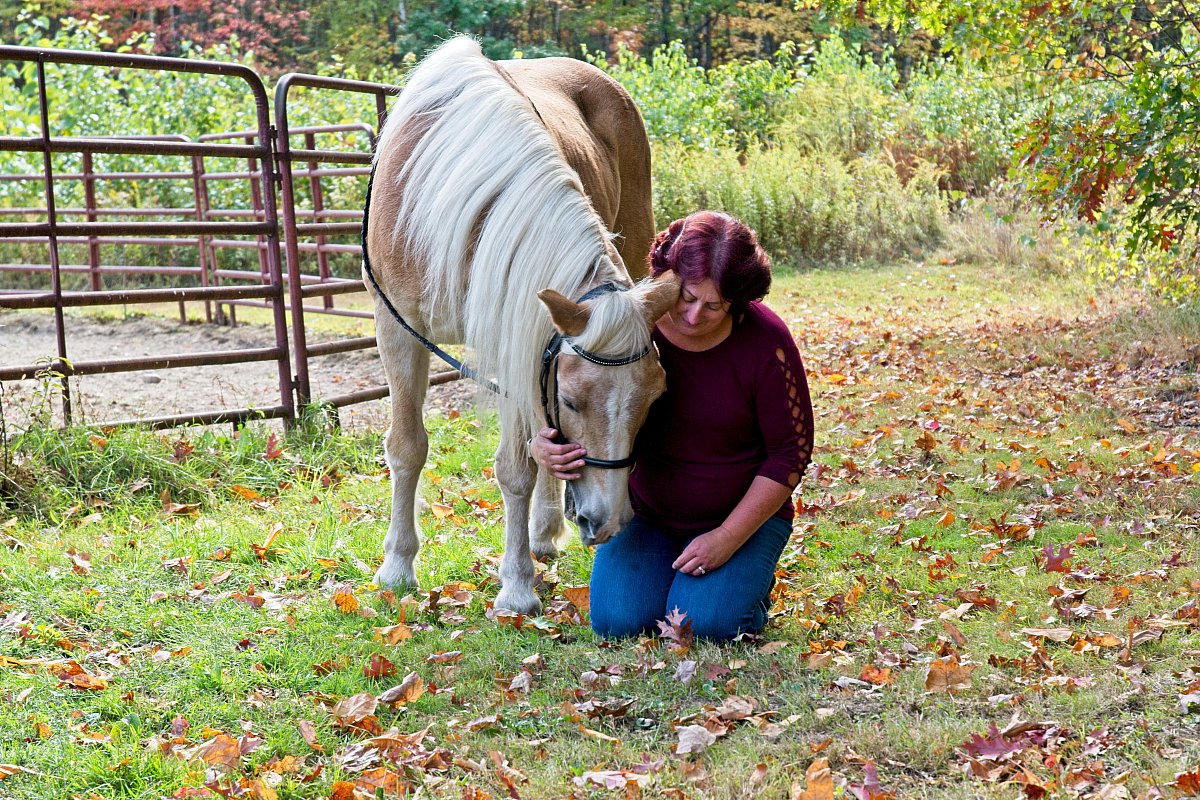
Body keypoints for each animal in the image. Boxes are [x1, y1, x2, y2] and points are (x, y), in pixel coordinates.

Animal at [364, 35, 676, 614]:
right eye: (572, 401)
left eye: (655, 399)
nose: (609, 521)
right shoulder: (397, 328)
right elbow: (407, 446)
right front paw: (397, 566)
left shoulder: (518, 337)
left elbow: (517, 467)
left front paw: (515, 585)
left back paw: (542, 534)